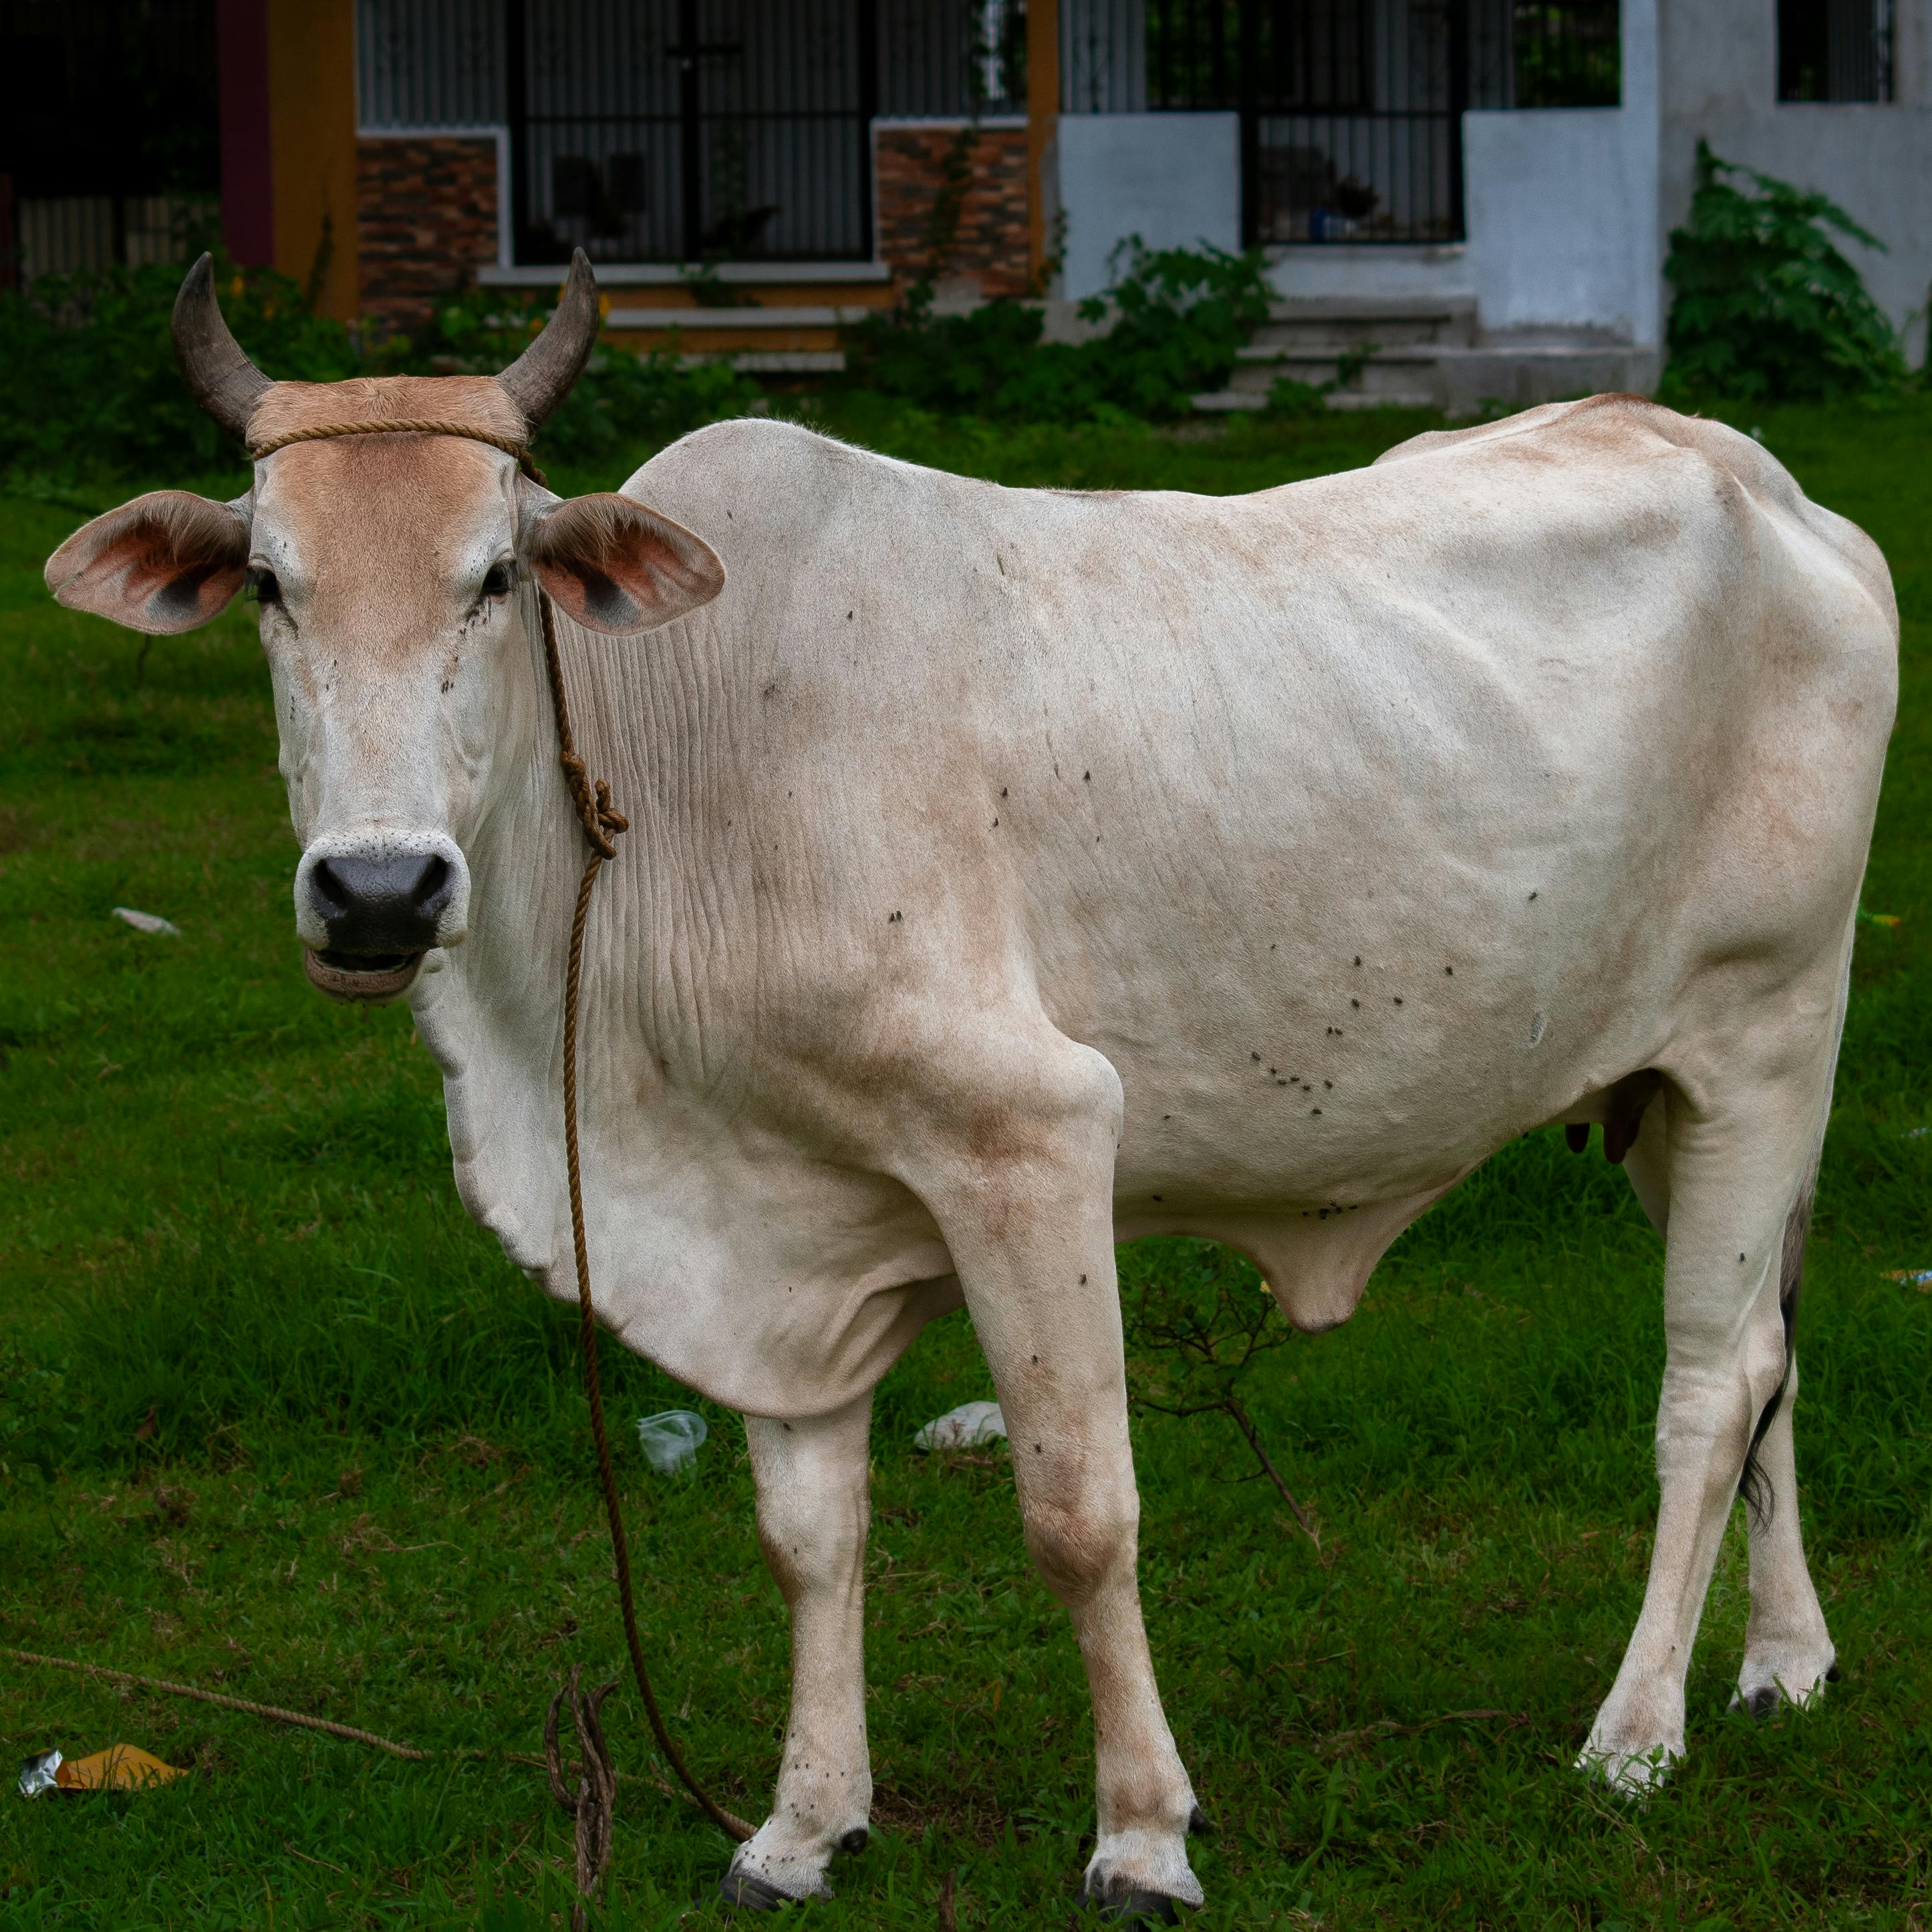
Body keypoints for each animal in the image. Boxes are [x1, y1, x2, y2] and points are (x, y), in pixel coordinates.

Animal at [46, 253, 1895, 1918]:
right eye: (268, 582)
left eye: (495, 573)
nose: (376, 891)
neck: (670, 768)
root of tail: (1763, 479)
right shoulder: (769, 1212)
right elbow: (807, 1529)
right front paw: (801, 1825)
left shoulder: (1029, 1140)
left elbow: (1079, 1511)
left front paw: (1144, 1835)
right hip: (1662, 1092)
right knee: (1777, 1348)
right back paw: (1784, 1658)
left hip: (1765, 1038)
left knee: (1709, 1387)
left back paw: (1635, 1731)